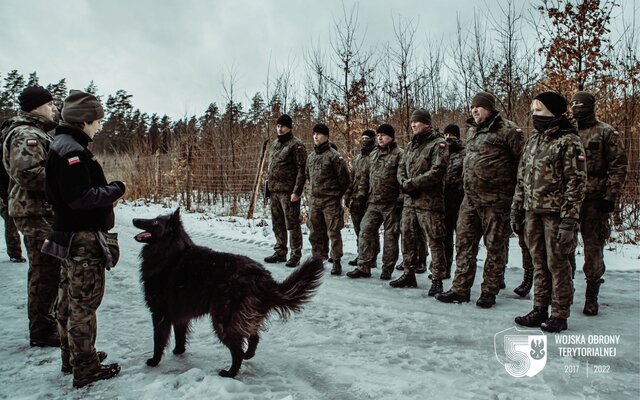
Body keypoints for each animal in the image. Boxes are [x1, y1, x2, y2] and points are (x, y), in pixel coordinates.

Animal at [135, 209, 324, 378]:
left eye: (155, 222)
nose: (135, 219)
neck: (171, 252)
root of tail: (262, 277)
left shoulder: (159, 313)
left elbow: (158, 340)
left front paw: (154, 361)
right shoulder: (180, 314)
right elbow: (180, 335)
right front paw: (179, 351)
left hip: (222, 320)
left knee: (237, 350)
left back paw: (230, 373)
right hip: (242, 316)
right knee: (253, 337)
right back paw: (248, 355)